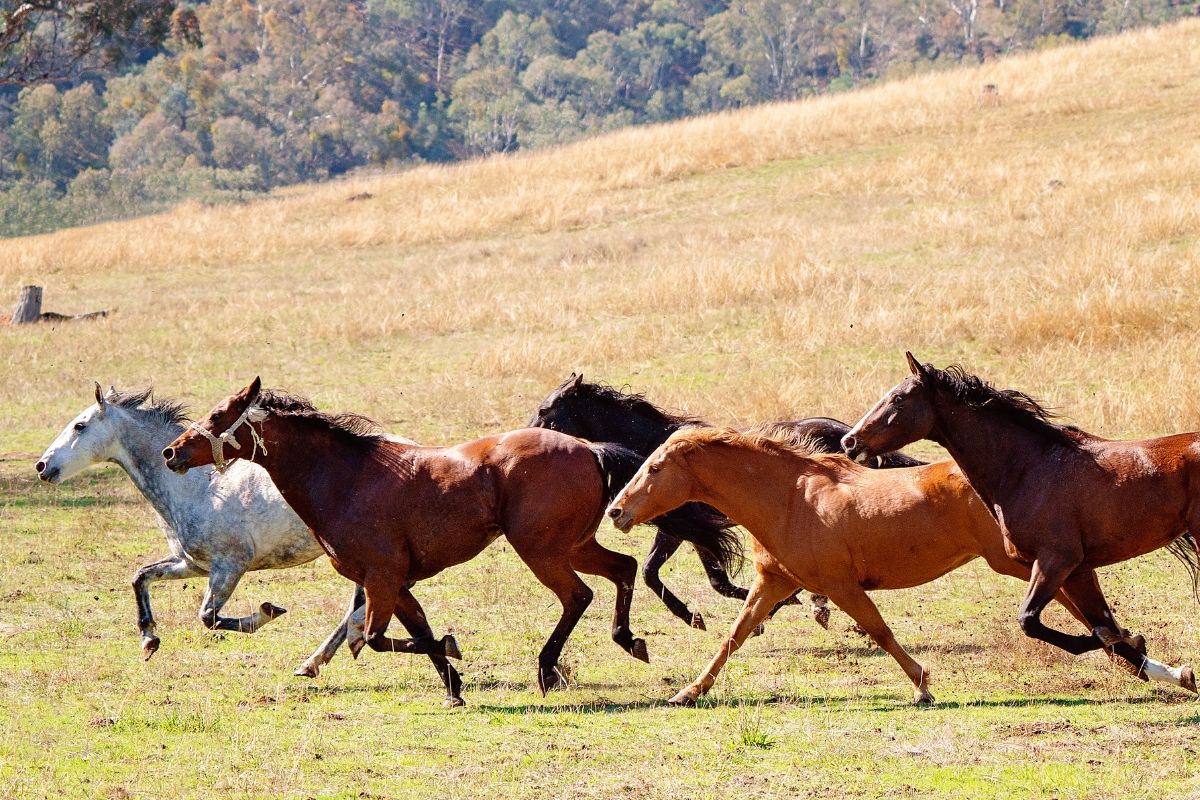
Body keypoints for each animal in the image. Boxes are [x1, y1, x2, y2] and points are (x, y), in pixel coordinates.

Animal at [37, 383, 367, 676]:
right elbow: (141, 577)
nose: (42, 466)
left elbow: (208, 617)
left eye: (79, 426)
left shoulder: (230, 566)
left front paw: (268, 611)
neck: (200, 488)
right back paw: (315, 661)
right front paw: (149, 640)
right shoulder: (192, 564)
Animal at [162, 381, 657, 705]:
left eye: (217, 417)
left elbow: (373, 640)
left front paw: (452, 650)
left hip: (541, 551)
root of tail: (589, 448)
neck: (344, 478)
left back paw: (547, 669)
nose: (171, 452)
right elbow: (415, 630)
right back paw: (628, 640)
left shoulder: (381, 578)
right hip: (574, 546)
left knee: (578, 595)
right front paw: (453, 688)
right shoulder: (396, 583)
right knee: (624, 569)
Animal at [530, 376, 921, 633]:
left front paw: (760, 611)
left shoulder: (689, 528)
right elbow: (662, 573)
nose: (529, 435)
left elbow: (698, 576)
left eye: (546, 409)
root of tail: (846, 433)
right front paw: (700, 616)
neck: (653, 443)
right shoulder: (682, 531)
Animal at [604, 429, 1195, 705]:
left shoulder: (840, 584)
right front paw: (687, 693)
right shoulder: (775, 583)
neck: (789, 497)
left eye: (655, 468)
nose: (617, 512)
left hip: (1022, 562)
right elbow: (732, 638)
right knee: (1091, 615)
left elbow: (880, 631)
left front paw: (923, 686)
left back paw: (1156, 664)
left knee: (1083, 614)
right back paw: (1161, 667)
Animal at [844, 352, 1200, 695]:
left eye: (899, 399)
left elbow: (1031, 621)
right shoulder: (1078, 571)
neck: (1028, 468)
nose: (850, 441)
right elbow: (1102, 623)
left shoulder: (1056, 560)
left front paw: (1122, 639)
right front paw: (1176, 672)